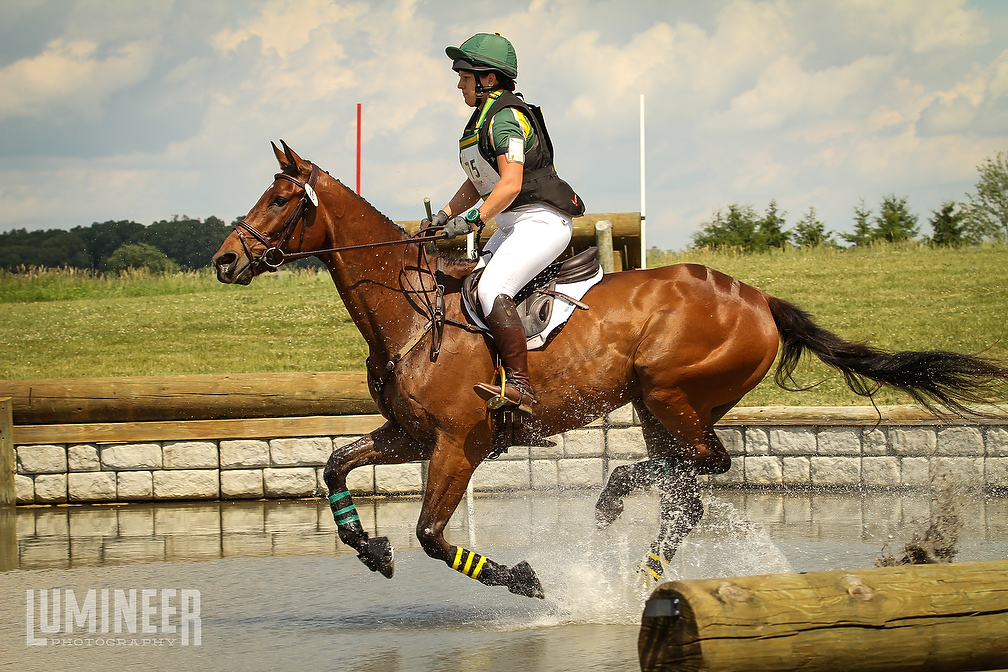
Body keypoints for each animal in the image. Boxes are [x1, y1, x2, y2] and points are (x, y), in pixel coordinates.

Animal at [212, 141, 1008, 598]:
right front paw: (367, 547)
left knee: (703, 469)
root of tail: (757, 298)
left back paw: (619, 513)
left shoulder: (459, 442)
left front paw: (524, 579)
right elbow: (334, 465)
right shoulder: (409, 435)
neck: (411, 314)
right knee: (685, 486)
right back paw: (632, 547)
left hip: (669, 389)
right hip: (659, 404)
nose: (224, 260)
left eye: (280, 200)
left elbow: (433, 535)